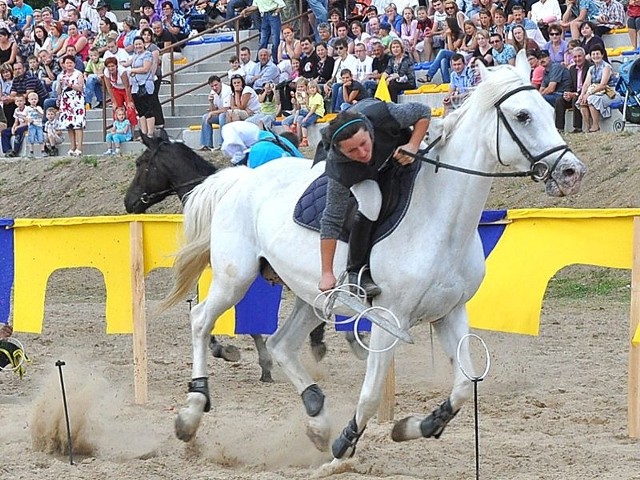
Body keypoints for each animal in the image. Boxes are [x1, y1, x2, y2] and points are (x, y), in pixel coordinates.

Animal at [162, 54, 588, 464]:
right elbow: (369, 395)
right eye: (522, 115)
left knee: (282, 344)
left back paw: (317, 418)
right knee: (201, 321)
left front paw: (416, 426)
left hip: (311, 295)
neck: (441, 218)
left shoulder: (450, 312)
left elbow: (464, 386)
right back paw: (192, 412)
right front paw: (345, 444)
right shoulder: (389, 319)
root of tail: (241, 178)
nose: (572, 172)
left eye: (549, 110)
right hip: (235, 278)